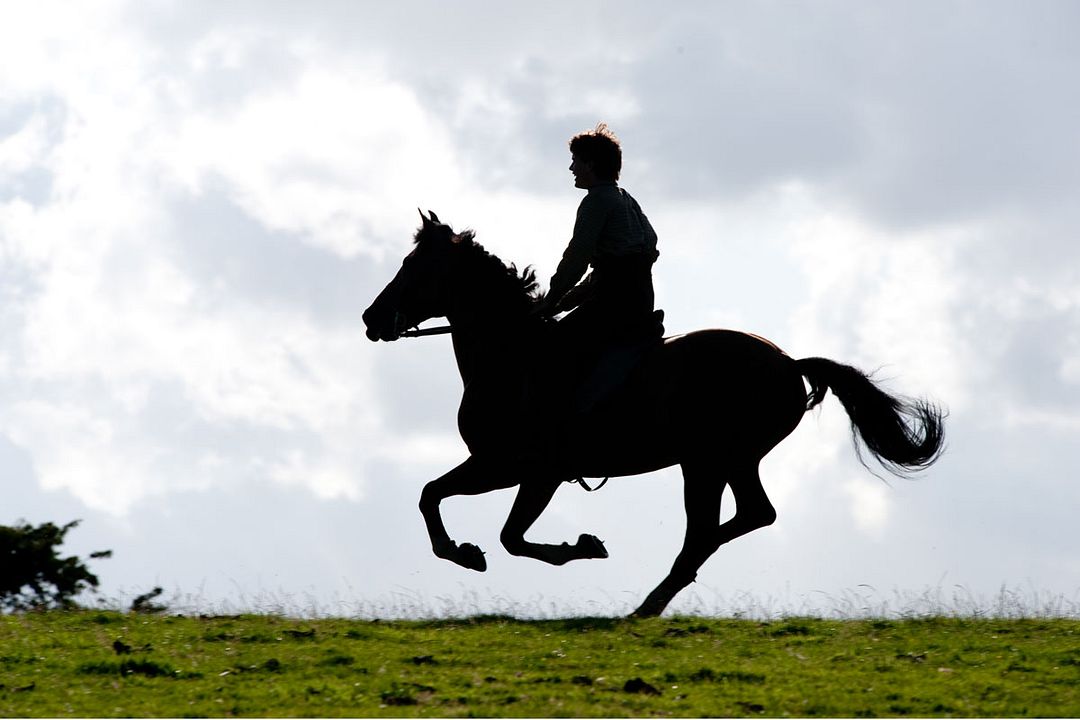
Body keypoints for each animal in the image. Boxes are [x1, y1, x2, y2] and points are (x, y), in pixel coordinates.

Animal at [362, 210, 945, 617]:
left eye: (414, 268)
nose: (371, 319)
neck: (512, 355)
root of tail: (787, 363)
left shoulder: (525, 469)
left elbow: (498, 530)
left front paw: (568, 548)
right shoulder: (504, 467)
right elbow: (438, 498)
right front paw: (468, 552)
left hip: (707, 462)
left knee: (708, 528)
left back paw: (649, 601)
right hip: (728, 461)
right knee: (748, 516)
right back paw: (660, 595)